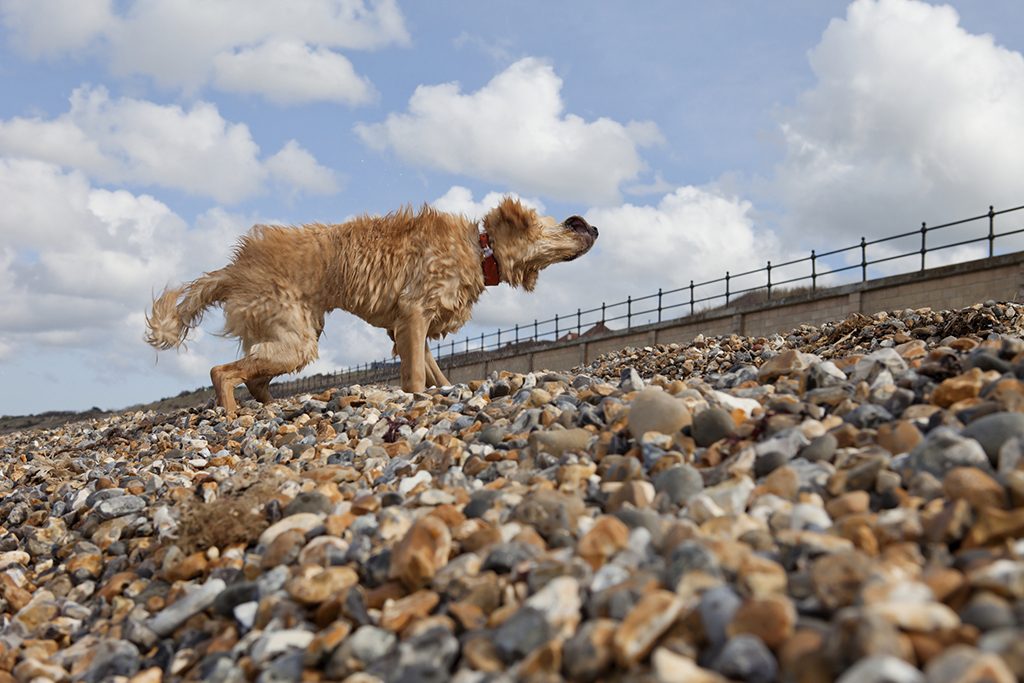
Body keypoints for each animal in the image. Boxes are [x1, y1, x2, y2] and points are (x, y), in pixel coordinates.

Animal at [140, 194, 598, 413]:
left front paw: (446, 392)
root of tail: (233, 269)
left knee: (251, 377)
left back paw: (273, 407)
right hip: (295, 338)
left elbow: (435, 372)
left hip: (293, 333)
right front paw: (419, 398)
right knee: (222, 372)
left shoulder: (410, 328)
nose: (593, 227)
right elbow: (415, 377)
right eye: (564, 223)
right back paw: (234, 412)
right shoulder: (414, 314)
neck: (479, 248)